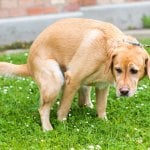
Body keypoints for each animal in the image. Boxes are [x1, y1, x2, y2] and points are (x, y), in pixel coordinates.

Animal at [0, 18, 149, 131]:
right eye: (118, 69)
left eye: (134, 71)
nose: (123, 92)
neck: (106, 50)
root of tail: (28, 63)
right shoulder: (73, 79)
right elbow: (63, 108)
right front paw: (62, 124)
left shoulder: (102, 86)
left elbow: (101, 107)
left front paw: (104, 122)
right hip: (55, 80)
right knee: (43, 109)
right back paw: (47, 128)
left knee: (83, 100)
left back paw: (87, 106)